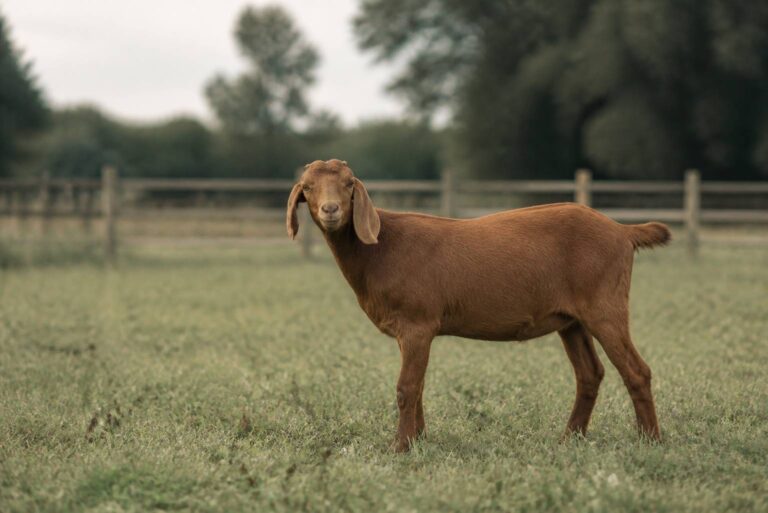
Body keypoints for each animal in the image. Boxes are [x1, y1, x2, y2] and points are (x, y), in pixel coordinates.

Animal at [287, 159, 669, 452]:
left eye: (349, 183)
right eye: (307, 187)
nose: (331, 210)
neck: (380, 247)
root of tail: (623, 231)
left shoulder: (417, 323)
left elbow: (406, 387)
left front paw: (400, 447)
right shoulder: (409, 331)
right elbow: (418, 385)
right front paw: (419, 440)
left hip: (604, 304)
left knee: (636, 370)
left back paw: (650, 441)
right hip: (570, 319)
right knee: (590, 373)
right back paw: (569, 439)